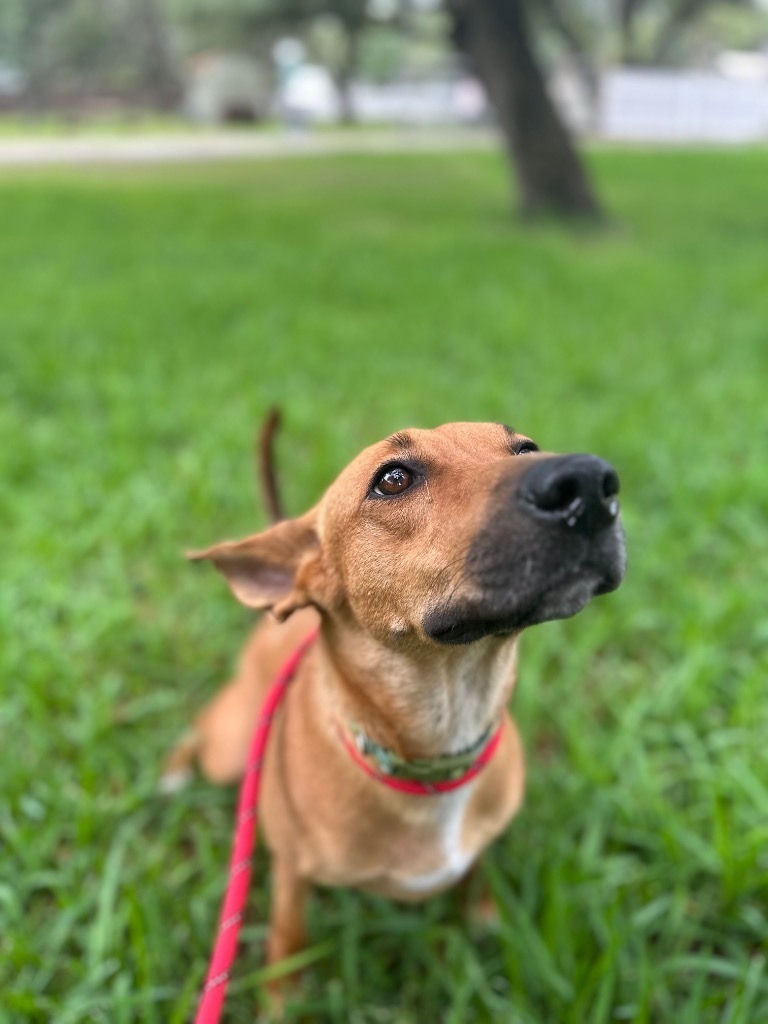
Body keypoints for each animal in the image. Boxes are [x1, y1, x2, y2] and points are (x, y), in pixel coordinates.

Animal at [167, 421, 626, 974]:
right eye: (393, 478)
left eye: (527, 448)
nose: (589, 482)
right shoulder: (292, 875)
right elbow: (289, 944)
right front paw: (282, 993)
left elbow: (476, 881)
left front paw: (482, 922)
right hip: (230, 749)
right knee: (198, 730)